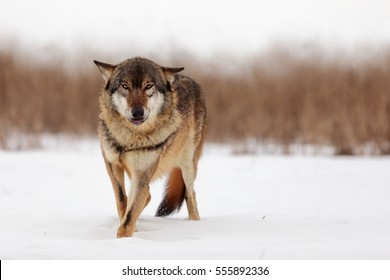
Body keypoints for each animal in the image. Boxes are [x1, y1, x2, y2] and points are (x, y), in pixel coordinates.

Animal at [94, 58, 206, 237]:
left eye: (148, 86)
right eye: (125, 86)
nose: (137, 112)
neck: (129, 139)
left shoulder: (142, 173)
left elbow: (130, 215)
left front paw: (124, 238)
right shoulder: (111, 164)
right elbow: (122, 200)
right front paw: (130, 230)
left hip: (187, 165)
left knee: (190, 195)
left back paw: (195, 225)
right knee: (147, 196)